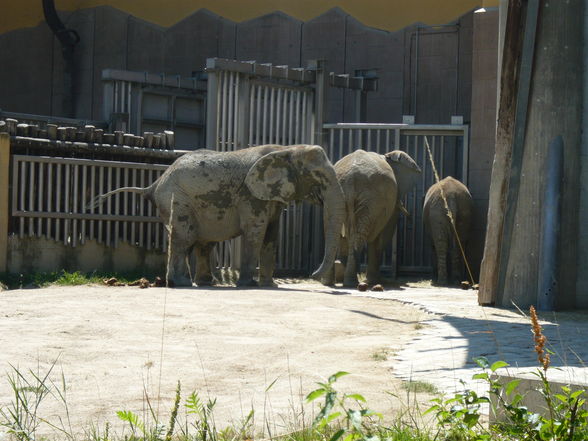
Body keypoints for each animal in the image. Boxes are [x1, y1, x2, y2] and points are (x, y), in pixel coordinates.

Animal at [90, 144, 346, 288]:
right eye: (317, 176)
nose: (314, 275)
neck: (288, 149)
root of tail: (153, 185)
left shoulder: (271, 196)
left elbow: (272, 234)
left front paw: (269, 285)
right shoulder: (250, 195)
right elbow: (256, 232)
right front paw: (249, 285)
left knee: (200, 242)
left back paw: (203, 282)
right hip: (178, 199)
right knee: (184, 238)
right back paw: (182, 284)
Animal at [324, 148, 420, 286]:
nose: (411, 218)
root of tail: (350, 178)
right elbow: (383, 234)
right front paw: (376, 281)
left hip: (335, 195)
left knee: (334, 231)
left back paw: (332, 280)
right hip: (371, 199)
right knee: (358, 235)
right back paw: (350, 282)